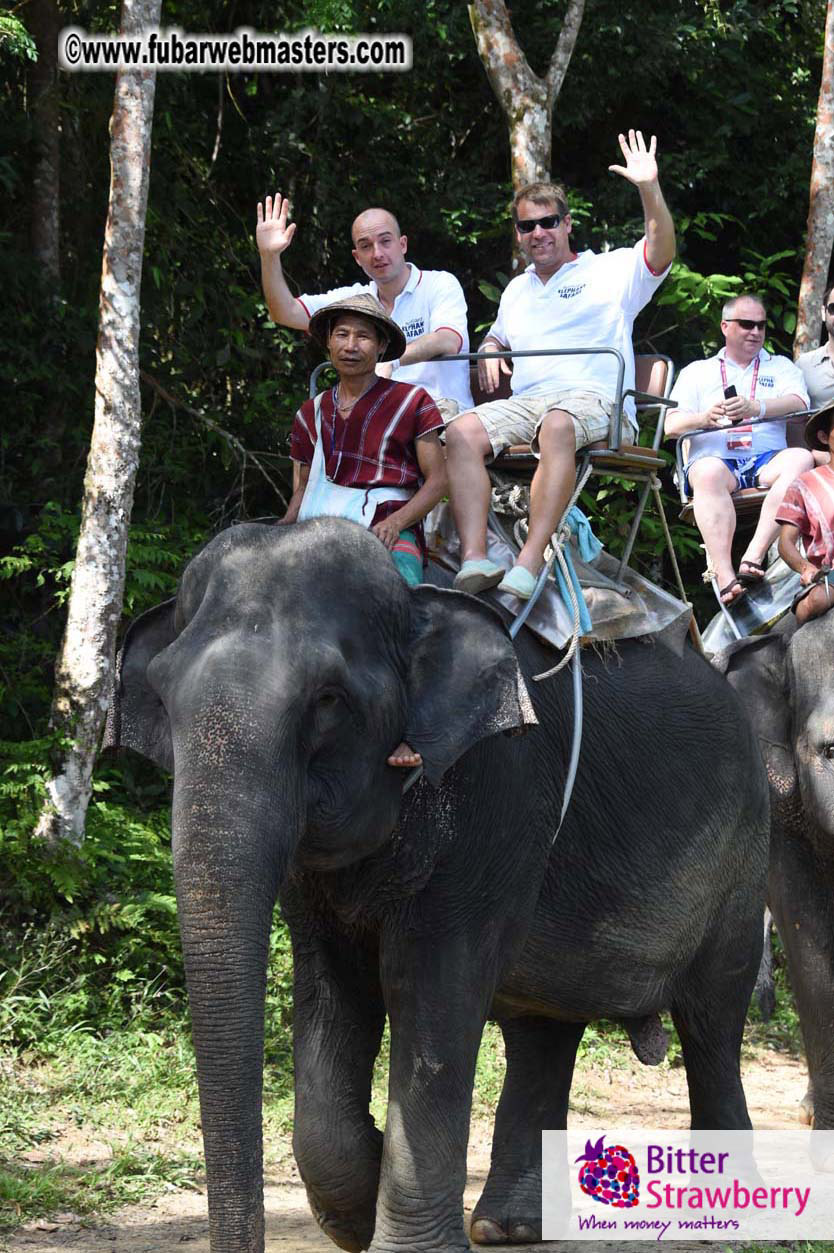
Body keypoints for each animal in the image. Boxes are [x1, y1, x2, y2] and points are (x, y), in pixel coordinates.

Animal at [107, 517, 769, 1253]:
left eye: (328, 699)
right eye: (163, 695)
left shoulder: (497, 789)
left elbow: (430, 987)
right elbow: (334, 989)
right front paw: (356, 1204)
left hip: (743, 850)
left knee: (713, 1015)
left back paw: (731, 1219)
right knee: (544, 1027)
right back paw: (508, 1227)